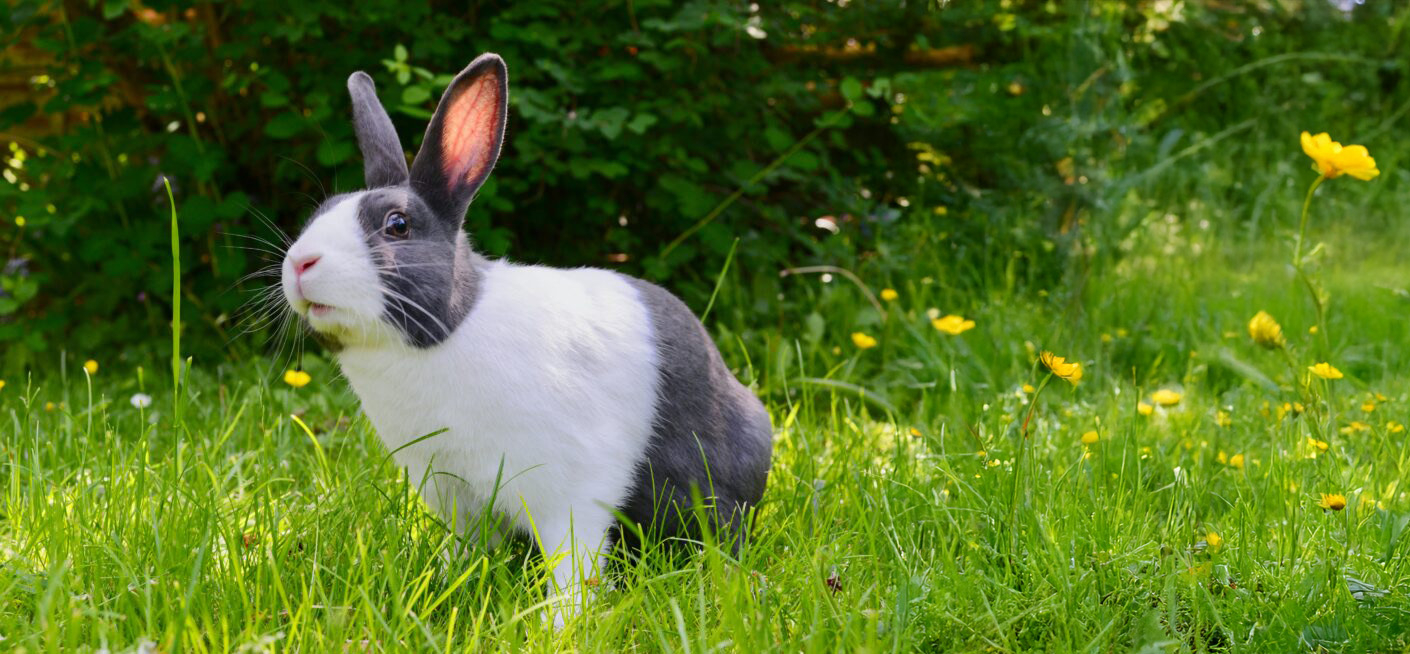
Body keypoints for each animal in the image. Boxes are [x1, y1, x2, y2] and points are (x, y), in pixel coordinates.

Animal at [279, 53, 774, 625]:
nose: (300, 263)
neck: (449, 333)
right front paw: (443, 585)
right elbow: (464, 549)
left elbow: (573, 562)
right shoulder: (452, 491)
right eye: (320, 213)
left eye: (397, 225)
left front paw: (561, 625)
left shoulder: (569, 491)